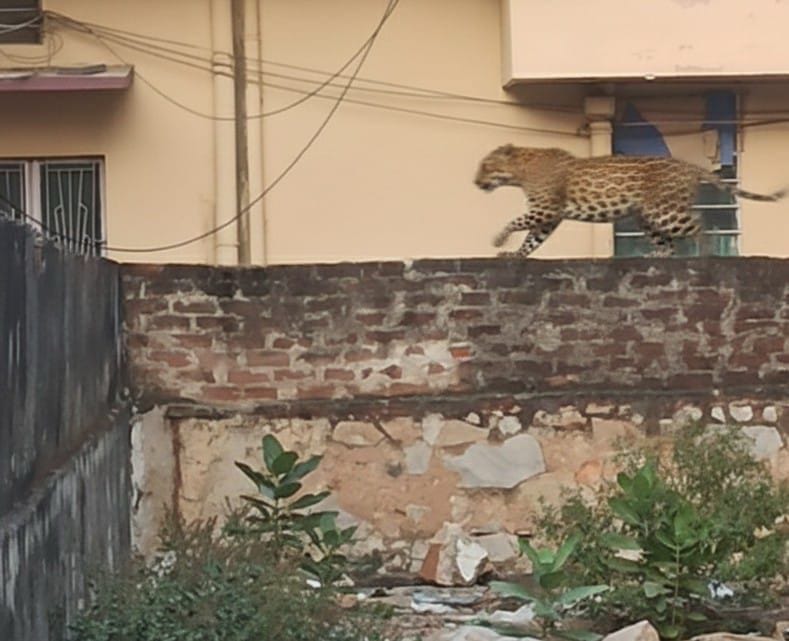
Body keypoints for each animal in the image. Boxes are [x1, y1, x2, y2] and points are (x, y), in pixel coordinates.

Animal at [474, 144, 787, 257]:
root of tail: (689, 166)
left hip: (663, 211)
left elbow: (515, 222)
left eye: (486, 166)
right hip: (646, 216)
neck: (521, 171)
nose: (476, 182)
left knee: (700, 223)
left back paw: (706, 255)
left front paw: (498, 240)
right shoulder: (548, 217)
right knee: (668, 244)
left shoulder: (545, 209)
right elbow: (532, 239)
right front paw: (515, 254)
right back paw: (657, 256)